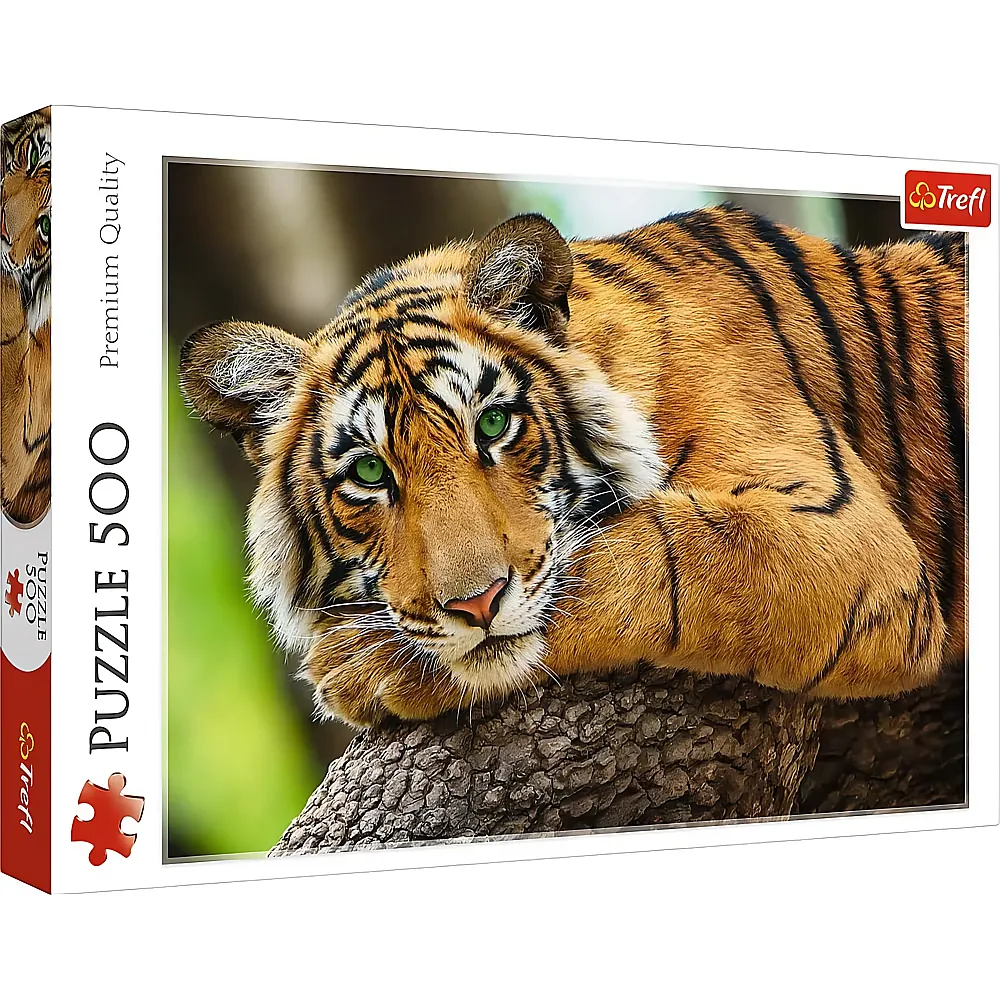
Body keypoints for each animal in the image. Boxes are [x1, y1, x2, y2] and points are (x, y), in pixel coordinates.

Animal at [180, 204, 966, 728]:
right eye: (370, 474)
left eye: (493, 425)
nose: (475, 606)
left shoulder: (842, 534)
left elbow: (645, 556)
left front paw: (356, 665)